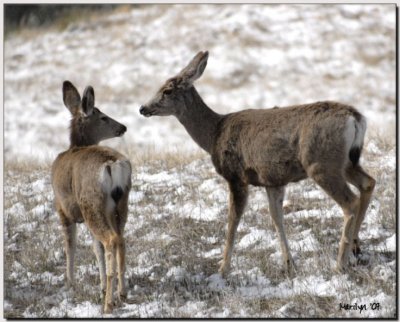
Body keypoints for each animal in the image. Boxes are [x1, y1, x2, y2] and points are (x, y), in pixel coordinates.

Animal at [50, 81, 133, 314]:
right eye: (103, 117)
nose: (123, 127)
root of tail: (112, 165)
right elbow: (96, 249)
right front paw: (102, 286)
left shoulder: (63, 208)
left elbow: (70, 245)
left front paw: (69, 283)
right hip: (119, 204)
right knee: (120, 239)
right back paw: (121, 293)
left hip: (91, 204)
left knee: (110, 239)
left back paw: (108, 304)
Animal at [140, 50, 376, 276]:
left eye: (167, 90)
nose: (143, 108)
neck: (214, 133)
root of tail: (355, 118)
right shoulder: (273, 180)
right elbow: (276, 217)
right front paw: (289, 264)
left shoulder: (236, 176)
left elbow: (233, 219)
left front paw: (223, 268)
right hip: (346, 162)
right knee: (368, 182)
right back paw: (355, 248)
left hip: (321, 164)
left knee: (350, 202)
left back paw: (340, 264)